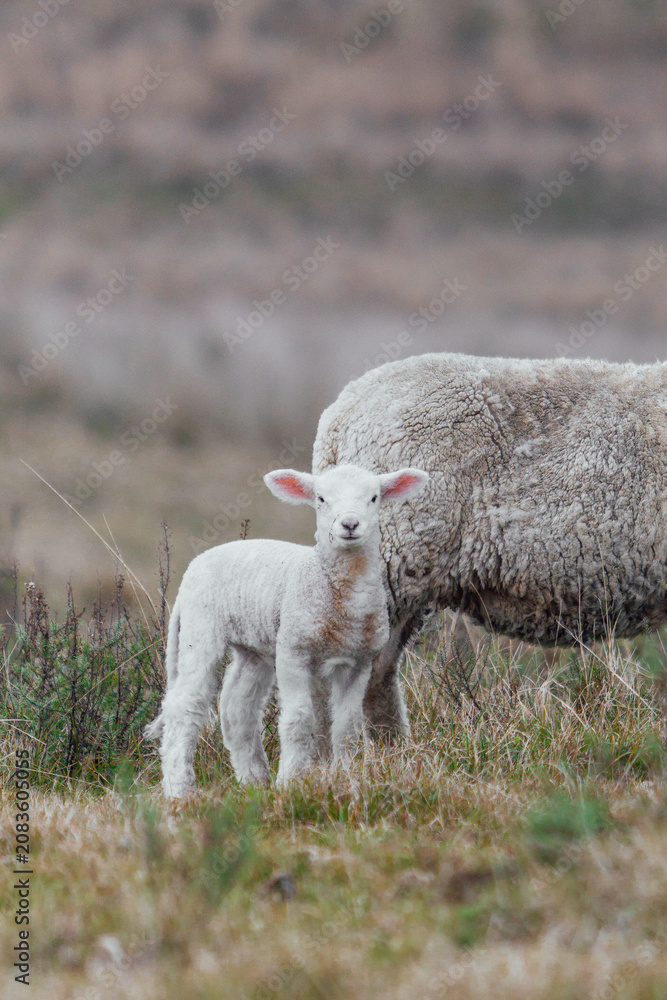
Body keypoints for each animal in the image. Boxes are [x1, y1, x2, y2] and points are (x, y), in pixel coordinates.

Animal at [144, 463, 429, 797]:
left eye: (374, 498)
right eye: (321, 498)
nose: (349, 524)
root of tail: (196, 563)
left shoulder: (359, 661)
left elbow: (346, 725)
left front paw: (345, 776)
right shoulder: (294, 651)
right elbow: (299, 720)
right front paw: (290, 781)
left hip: (253, 646)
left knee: (238, 709)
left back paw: (254, 780)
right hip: (200, 626)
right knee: (184, 706)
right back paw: (179, 789)